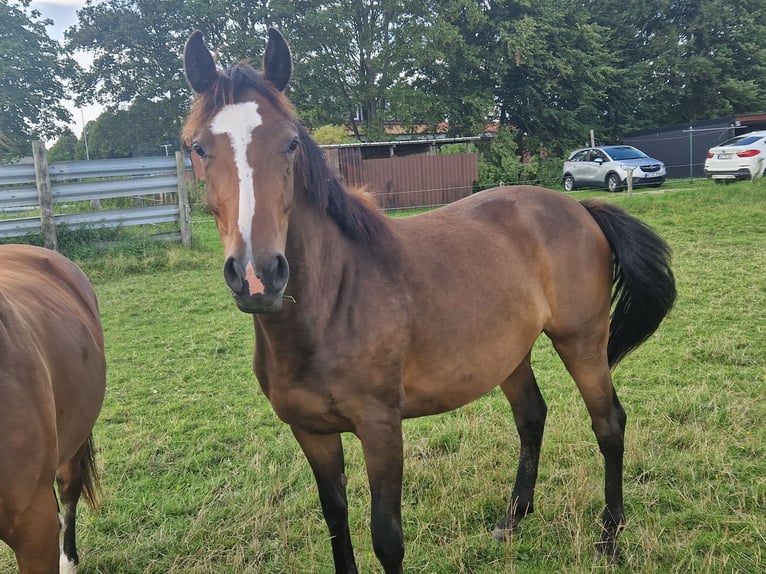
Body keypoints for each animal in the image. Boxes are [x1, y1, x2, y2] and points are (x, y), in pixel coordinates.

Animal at [183, 28, 676, 574]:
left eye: (290, 142)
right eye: (198, 147)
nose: (257, 274)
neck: (331, 308)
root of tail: (580, 207)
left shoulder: (381, 429)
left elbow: (387, 539)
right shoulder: (311, 433)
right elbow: (335, 521)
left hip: (582, 343)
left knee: (608, 424)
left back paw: (610, 536)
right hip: (510, 355)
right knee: (531, 418)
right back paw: (513, 519)